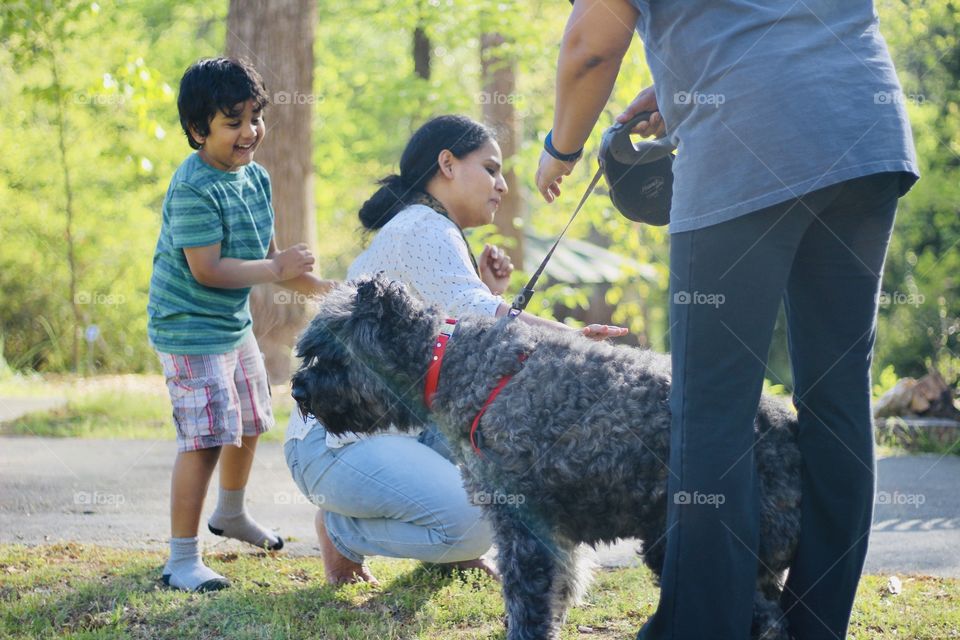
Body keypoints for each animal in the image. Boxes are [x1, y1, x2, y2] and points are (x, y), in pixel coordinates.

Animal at [290, 278, 804, 640]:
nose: (298, 390)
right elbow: (560, 586)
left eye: (326, 353)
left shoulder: (521, 524)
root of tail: (785, 426)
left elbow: (528, 598)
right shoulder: (550, 530)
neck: (457, 366)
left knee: (767, 623)